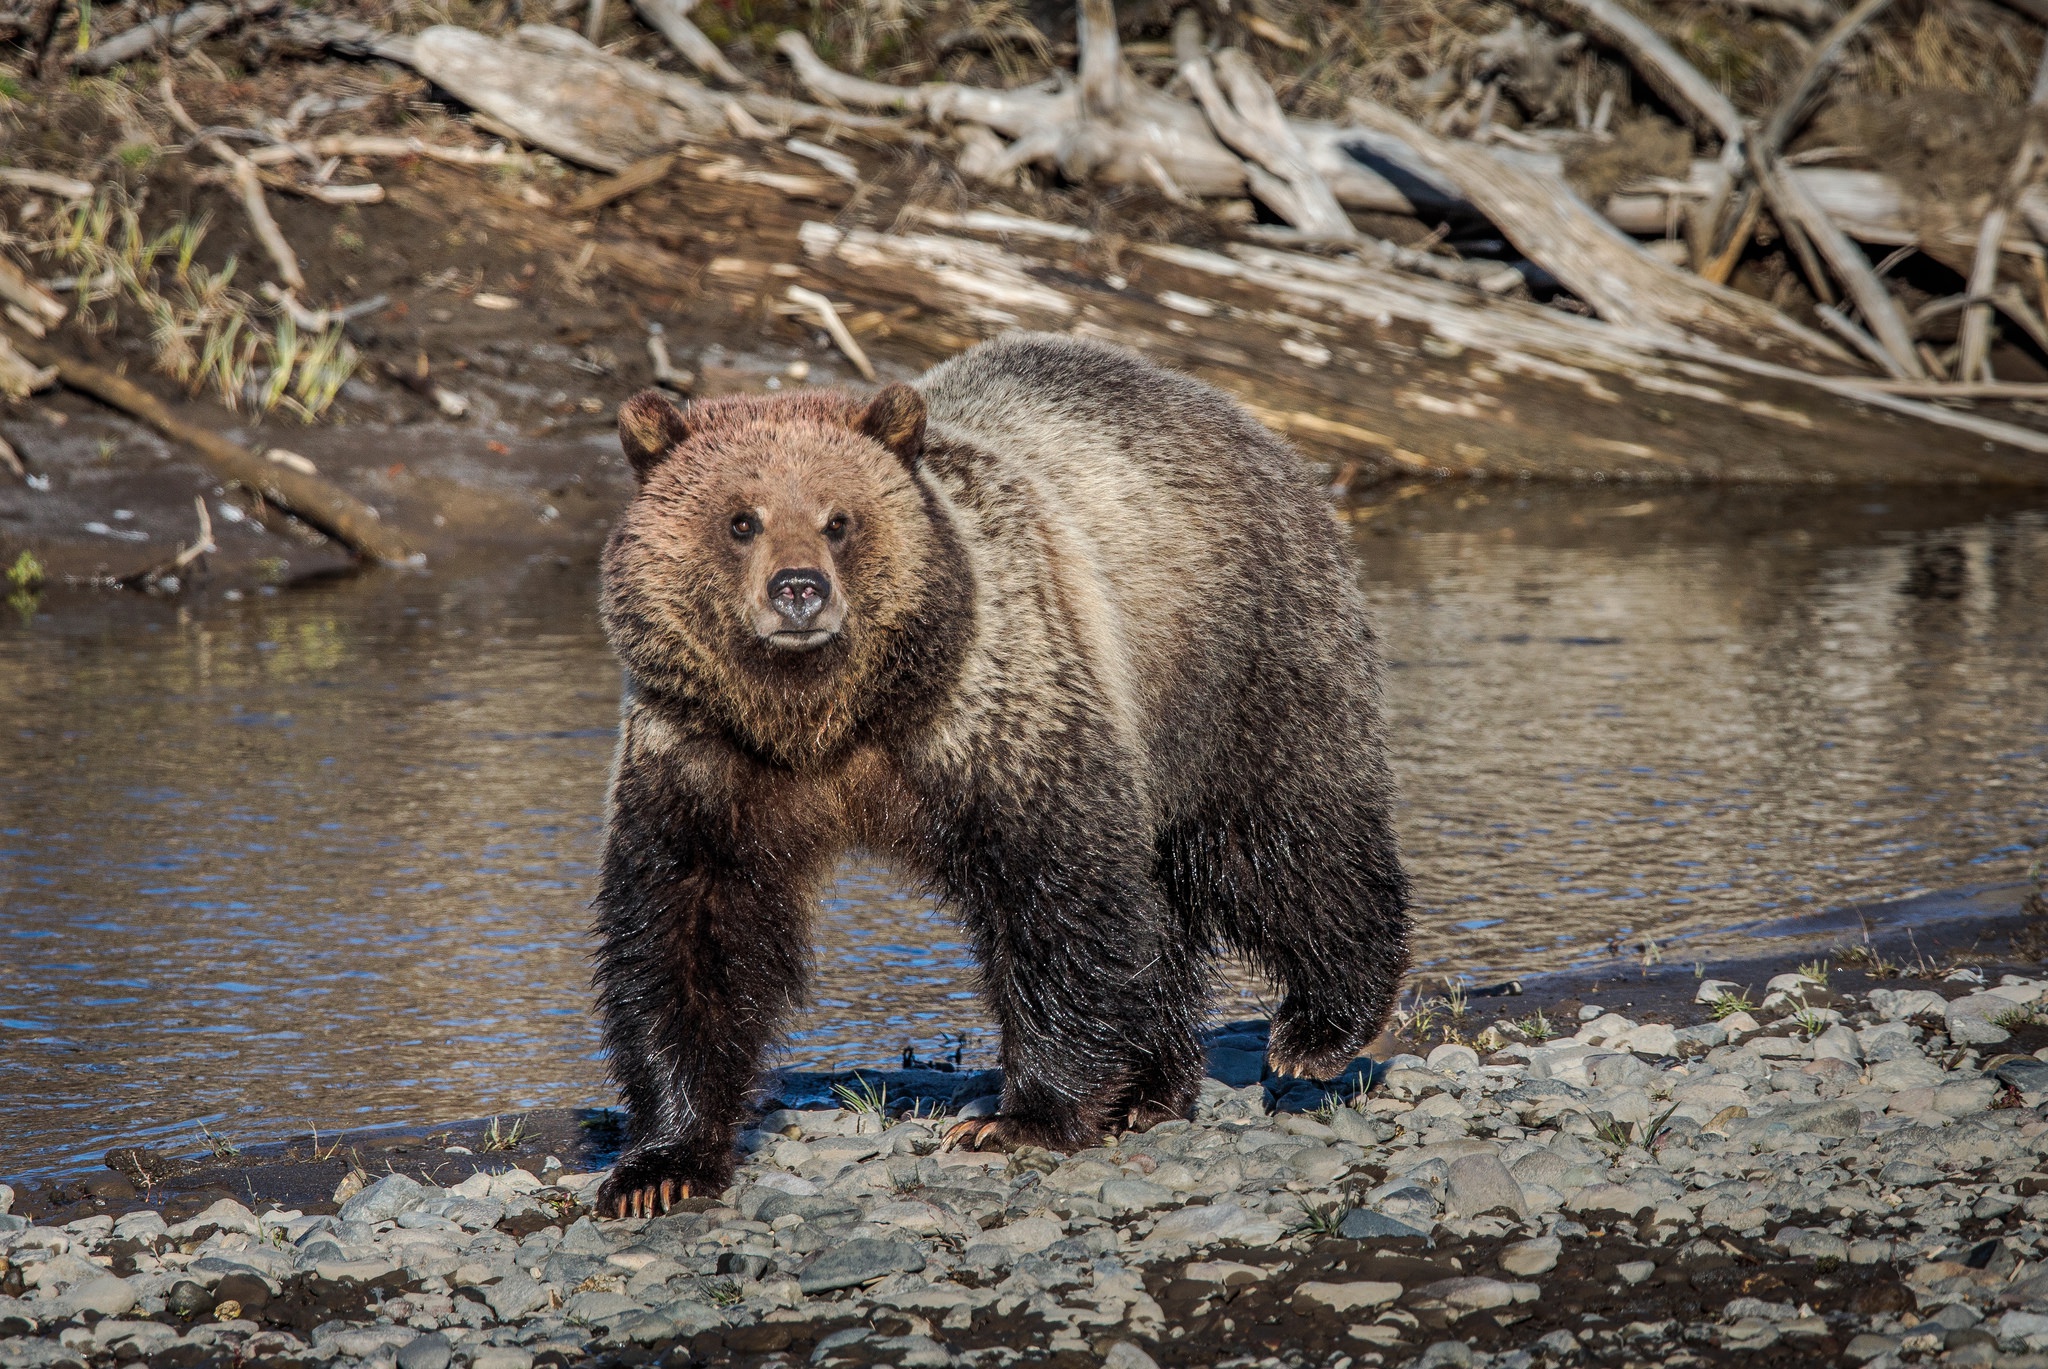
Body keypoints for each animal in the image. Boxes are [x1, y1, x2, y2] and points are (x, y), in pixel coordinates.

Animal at [593, 332, 1409, 1221]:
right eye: (741, 519)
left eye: (839, 520)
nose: (799, 590)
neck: (824, 718)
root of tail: (1239, 415)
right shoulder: (705, 758)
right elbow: (686, 932)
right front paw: (660, 1164)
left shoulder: (993, 703)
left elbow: (1057, 893)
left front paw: (1019, 1116)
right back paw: (1150, 1087)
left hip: (1230, 654)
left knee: (1278, 835)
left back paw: (1320, 1026)